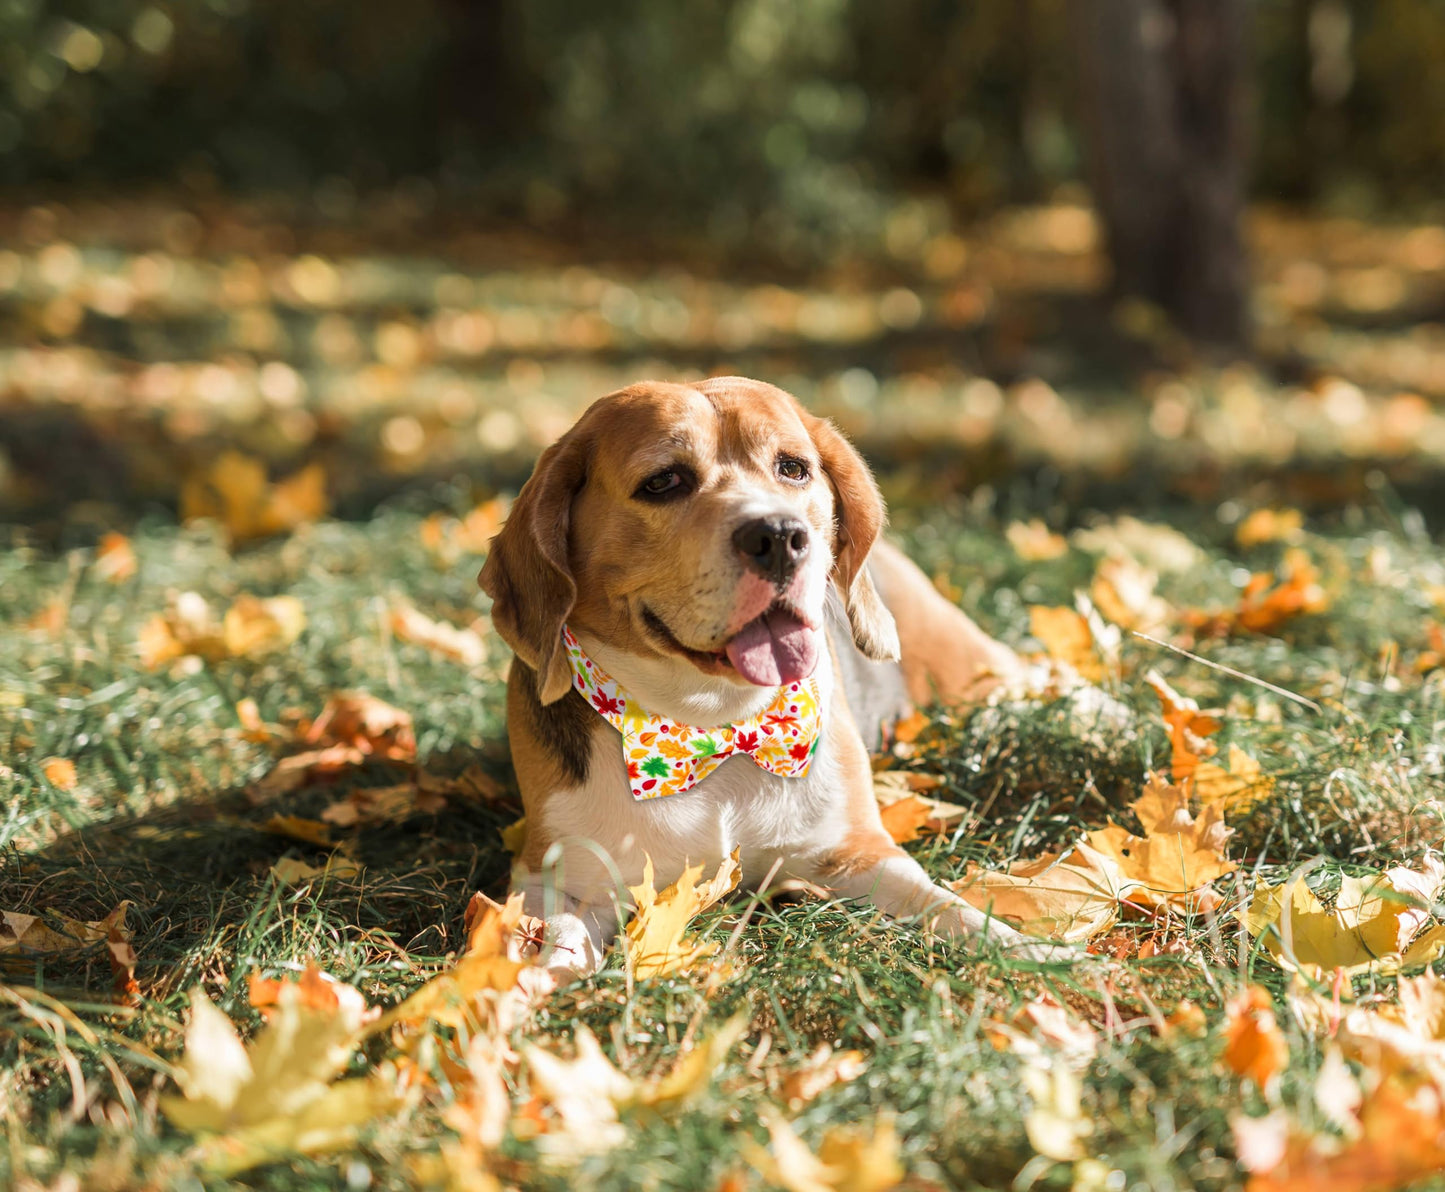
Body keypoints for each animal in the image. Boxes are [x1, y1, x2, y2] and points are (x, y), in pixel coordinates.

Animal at [482, 375, 1063, 976]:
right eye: (663, 481)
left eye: (793, 468)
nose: (781, 535)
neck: (713, 726)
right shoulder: (556, 877)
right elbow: (556, 942)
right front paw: (523, 986)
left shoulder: (863, 854)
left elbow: (951, 909)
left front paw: (1040, 954)